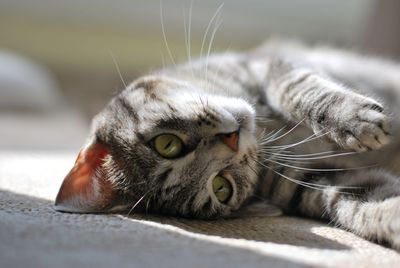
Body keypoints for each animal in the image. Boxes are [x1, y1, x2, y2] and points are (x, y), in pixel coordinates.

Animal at [54, 39, 400, 249]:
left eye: (167, 145)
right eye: (222, 187)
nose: (232, 139)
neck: (265, 129)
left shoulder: (264, 66)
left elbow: (300, 91)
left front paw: (356, 120)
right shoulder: (319, 177)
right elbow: (364, 204)